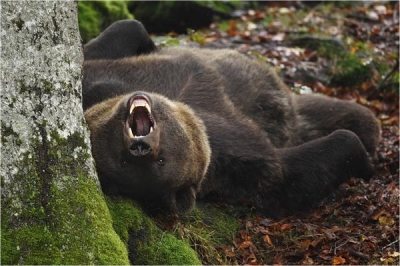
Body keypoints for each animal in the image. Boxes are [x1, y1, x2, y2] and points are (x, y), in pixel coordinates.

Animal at [83, 20, 380, 216]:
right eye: (122, 162)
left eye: (161, 159)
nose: (140, 147)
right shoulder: (232, 158)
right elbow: (287, 175)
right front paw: (365, 164)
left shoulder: (111, 75)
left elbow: (126, 30)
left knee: (357, 117)